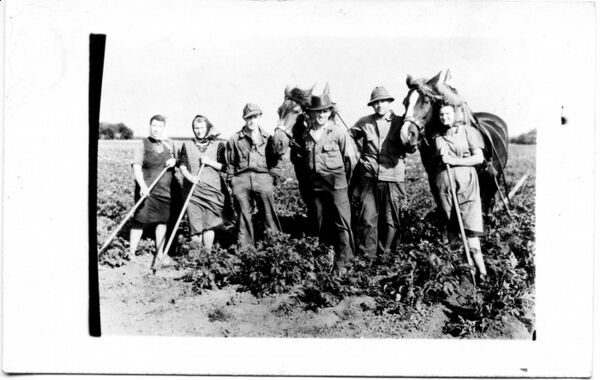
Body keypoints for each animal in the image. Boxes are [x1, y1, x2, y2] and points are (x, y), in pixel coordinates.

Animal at [398, 69, 510, 217]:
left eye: (426, 101)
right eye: (405, 102)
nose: (406, 136)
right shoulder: (433, 177)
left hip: (494, 174)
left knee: (488, 197)